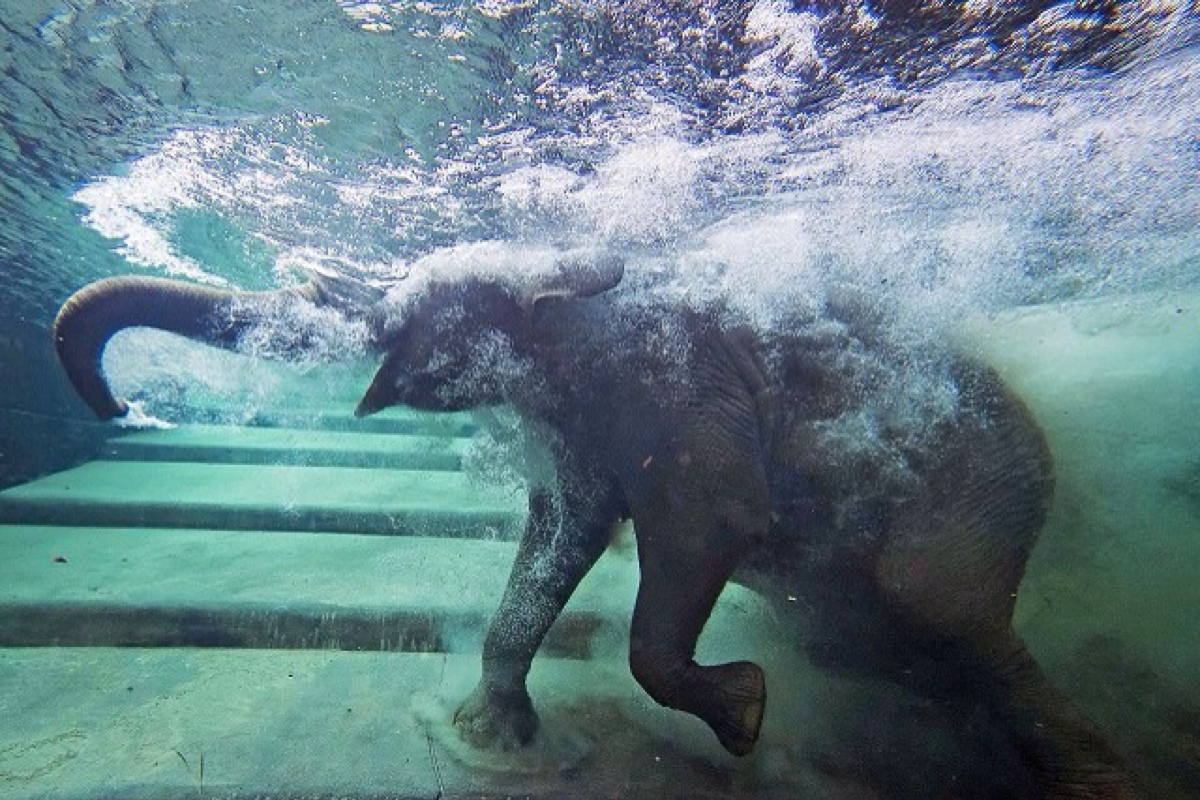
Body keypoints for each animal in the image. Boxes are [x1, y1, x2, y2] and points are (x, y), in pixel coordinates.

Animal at [49, 256, 1132, 800]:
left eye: (427, 306)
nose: (122, 408)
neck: (576, 277)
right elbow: (560, 533)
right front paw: (490, 738)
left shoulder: (682, 386)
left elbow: (707, 524)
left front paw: (744, 716)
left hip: (981, 493)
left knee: (939, 608)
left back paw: (1094, 776)